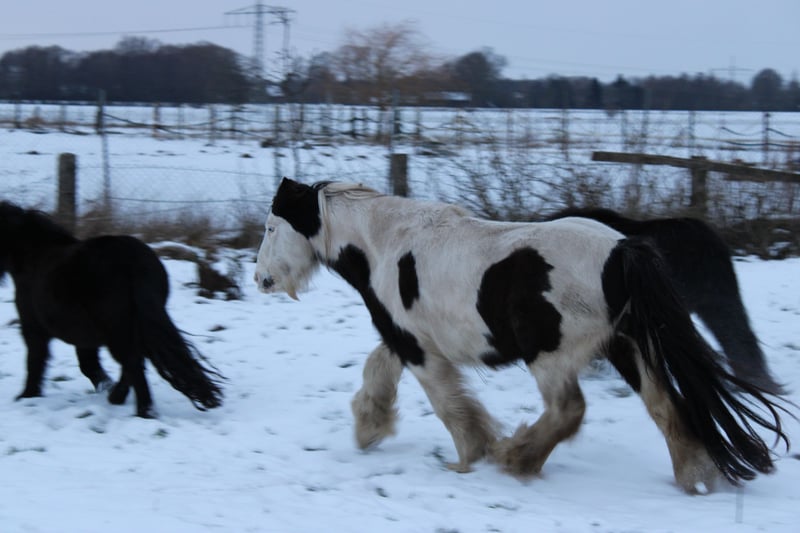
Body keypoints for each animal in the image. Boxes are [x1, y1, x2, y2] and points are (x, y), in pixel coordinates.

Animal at [0, 201, 223, 418]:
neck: (33, 256)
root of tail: (136, 261)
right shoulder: (84, 336)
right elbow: (87, 364)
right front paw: (106, 386)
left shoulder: (35, 328)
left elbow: (36, 361)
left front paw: (27, 395)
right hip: (132, 326)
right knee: (135, 362)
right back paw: (120, 399)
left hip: (117, 329)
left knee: (133, 363)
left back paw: (143, 411)